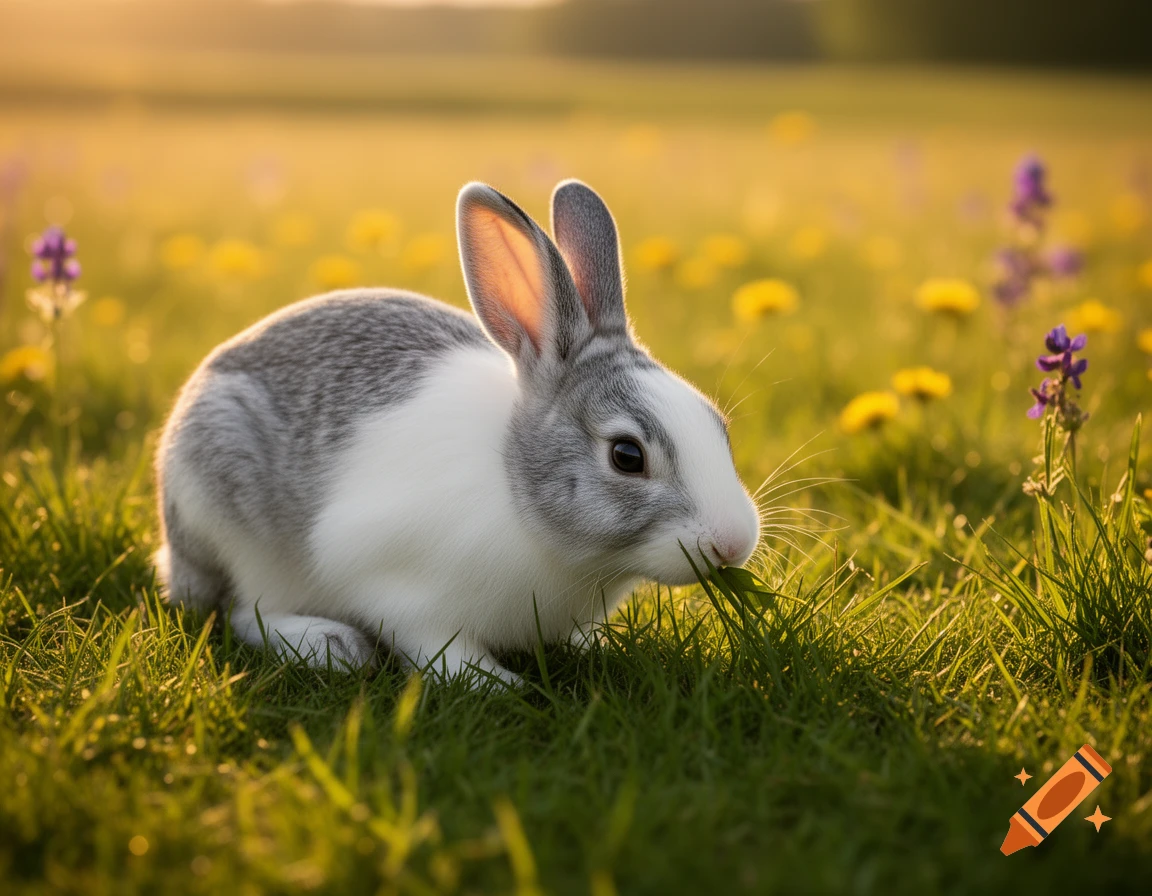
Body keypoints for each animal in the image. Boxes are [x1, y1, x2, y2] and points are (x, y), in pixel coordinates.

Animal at [154, 180, 760, 686]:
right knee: (245, 610)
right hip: (234, 522)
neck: (516, 483)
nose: (733, 544)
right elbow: (435, 648)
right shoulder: (402, 592)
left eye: (719, 426)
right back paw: (330, 645)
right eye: (627, 455)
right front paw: (498, 685)